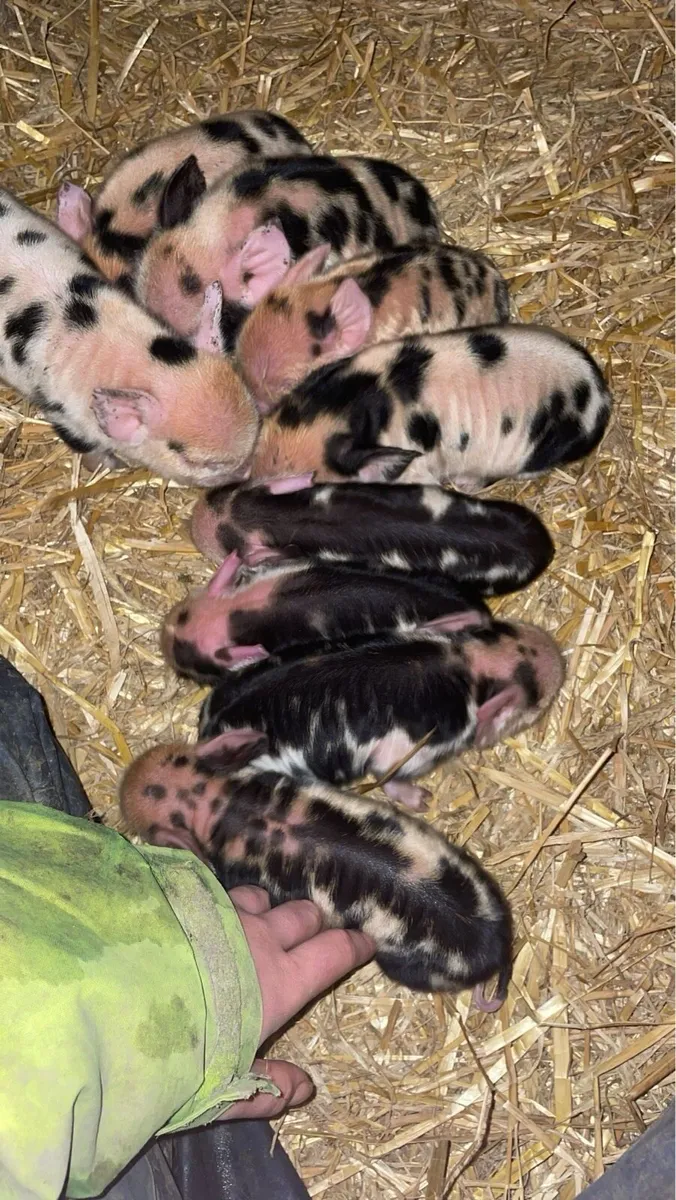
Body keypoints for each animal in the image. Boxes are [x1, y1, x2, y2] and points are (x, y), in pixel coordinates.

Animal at [119, 727, 513, 1009]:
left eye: (151, 829)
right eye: (172, 754)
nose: (127, 780)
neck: (212, 802)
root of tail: (497, 945)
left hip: (405, 964)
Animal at [197, 620, 565, 810]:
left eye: (501, 629)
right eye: (533, 694)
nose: (556, 654)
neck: (467, 664)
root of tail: (212, 727)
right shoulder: (406, 748)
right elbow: (387, 773)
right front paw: (423, 801)